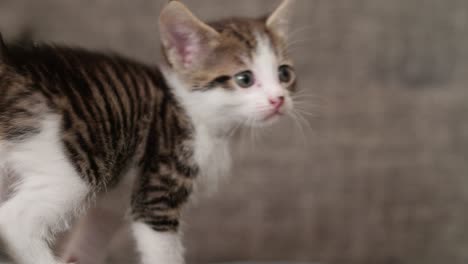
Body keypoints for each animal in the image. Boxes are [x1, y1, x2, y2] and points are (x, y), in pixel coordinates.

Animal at [0, 0, 298, 264]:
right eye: (244, 79)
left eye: (284, 74)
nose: (278, 99)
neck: (191, 111)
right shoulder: (157, 190)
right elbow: (163, 250)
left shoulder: (114, 197)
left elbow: (93, 235)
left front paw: (81, 256)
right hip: (69, 160)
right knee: (14, 222)